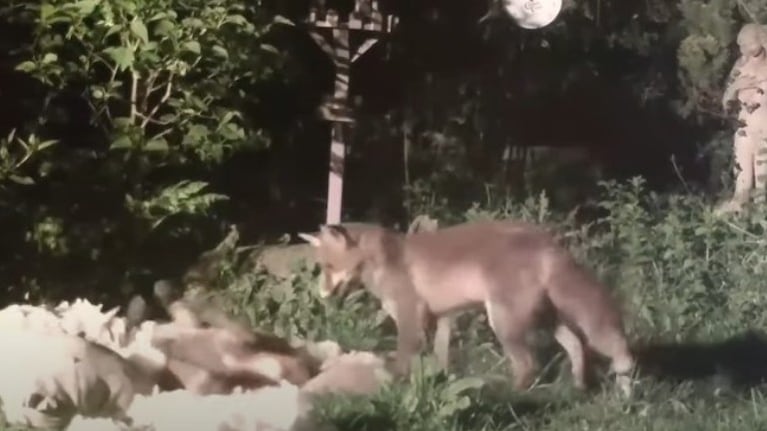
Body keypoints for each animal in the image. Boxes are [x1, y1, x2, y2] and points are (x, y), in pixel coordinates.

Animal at [298, 221, 636, 396]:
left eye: (328, 267)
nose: (321, 295)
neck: (384, 258)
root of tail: (546, 240)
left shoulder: (410, 317)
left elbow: (403, 359)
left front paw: (395, 385)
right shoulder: (443, 317)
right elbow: (439, 358)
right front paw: (438, 383)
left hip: (504, 322)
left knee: (529, 365)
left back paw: (512, 397)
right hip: (546, 320)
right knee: (576, 345)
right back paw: (579, 386)